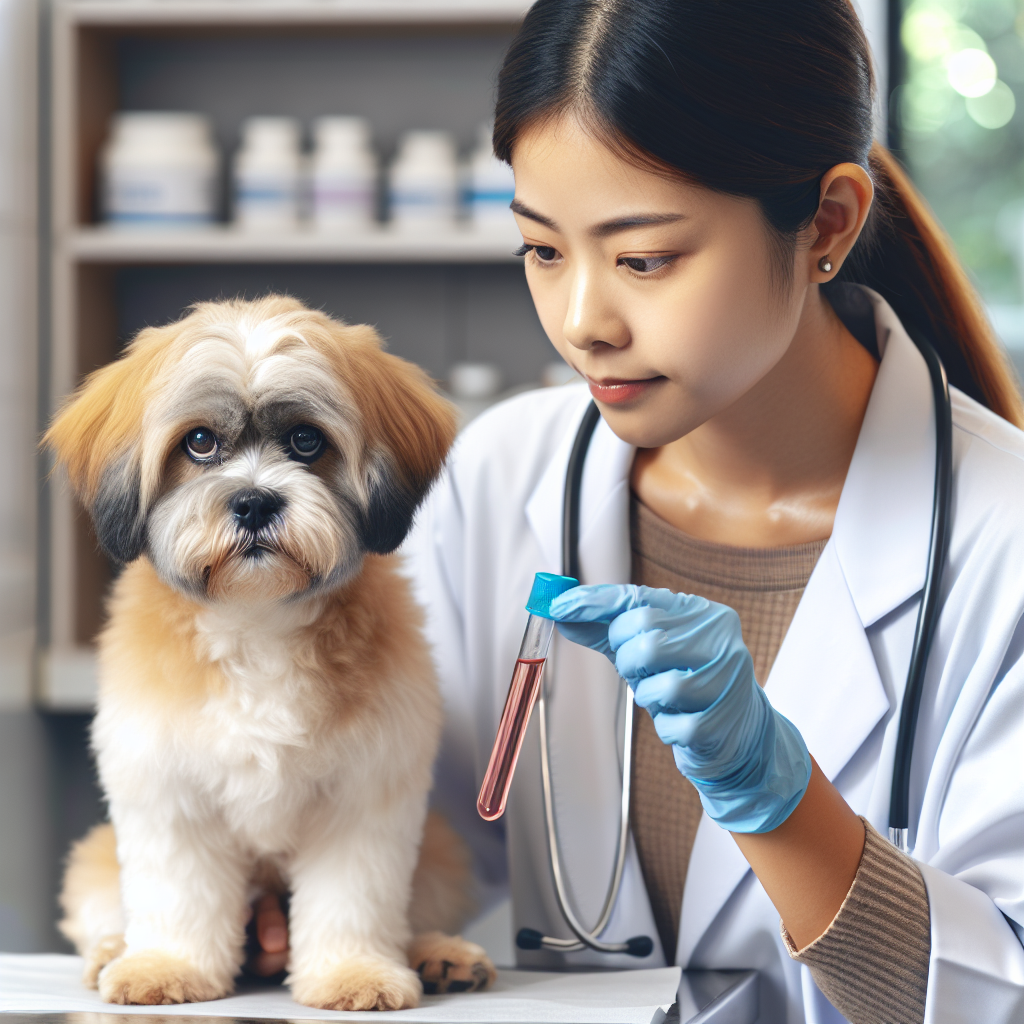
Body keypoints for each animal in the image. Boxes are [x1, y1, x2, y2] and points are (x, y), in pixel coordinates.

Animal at [47, 294, 495, 1007]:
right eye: (200, 442)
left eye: (306, 441)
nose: (254, 501)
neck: (257, 623)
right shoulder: (169, 790)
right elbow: (178, 892)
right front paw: (167, 966)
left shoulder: (364, 796)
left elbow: (353, 896)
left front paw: (354, 972)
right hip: (94, 858)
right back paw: (116, 952)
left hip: (441, 852)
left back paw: (438, 954)